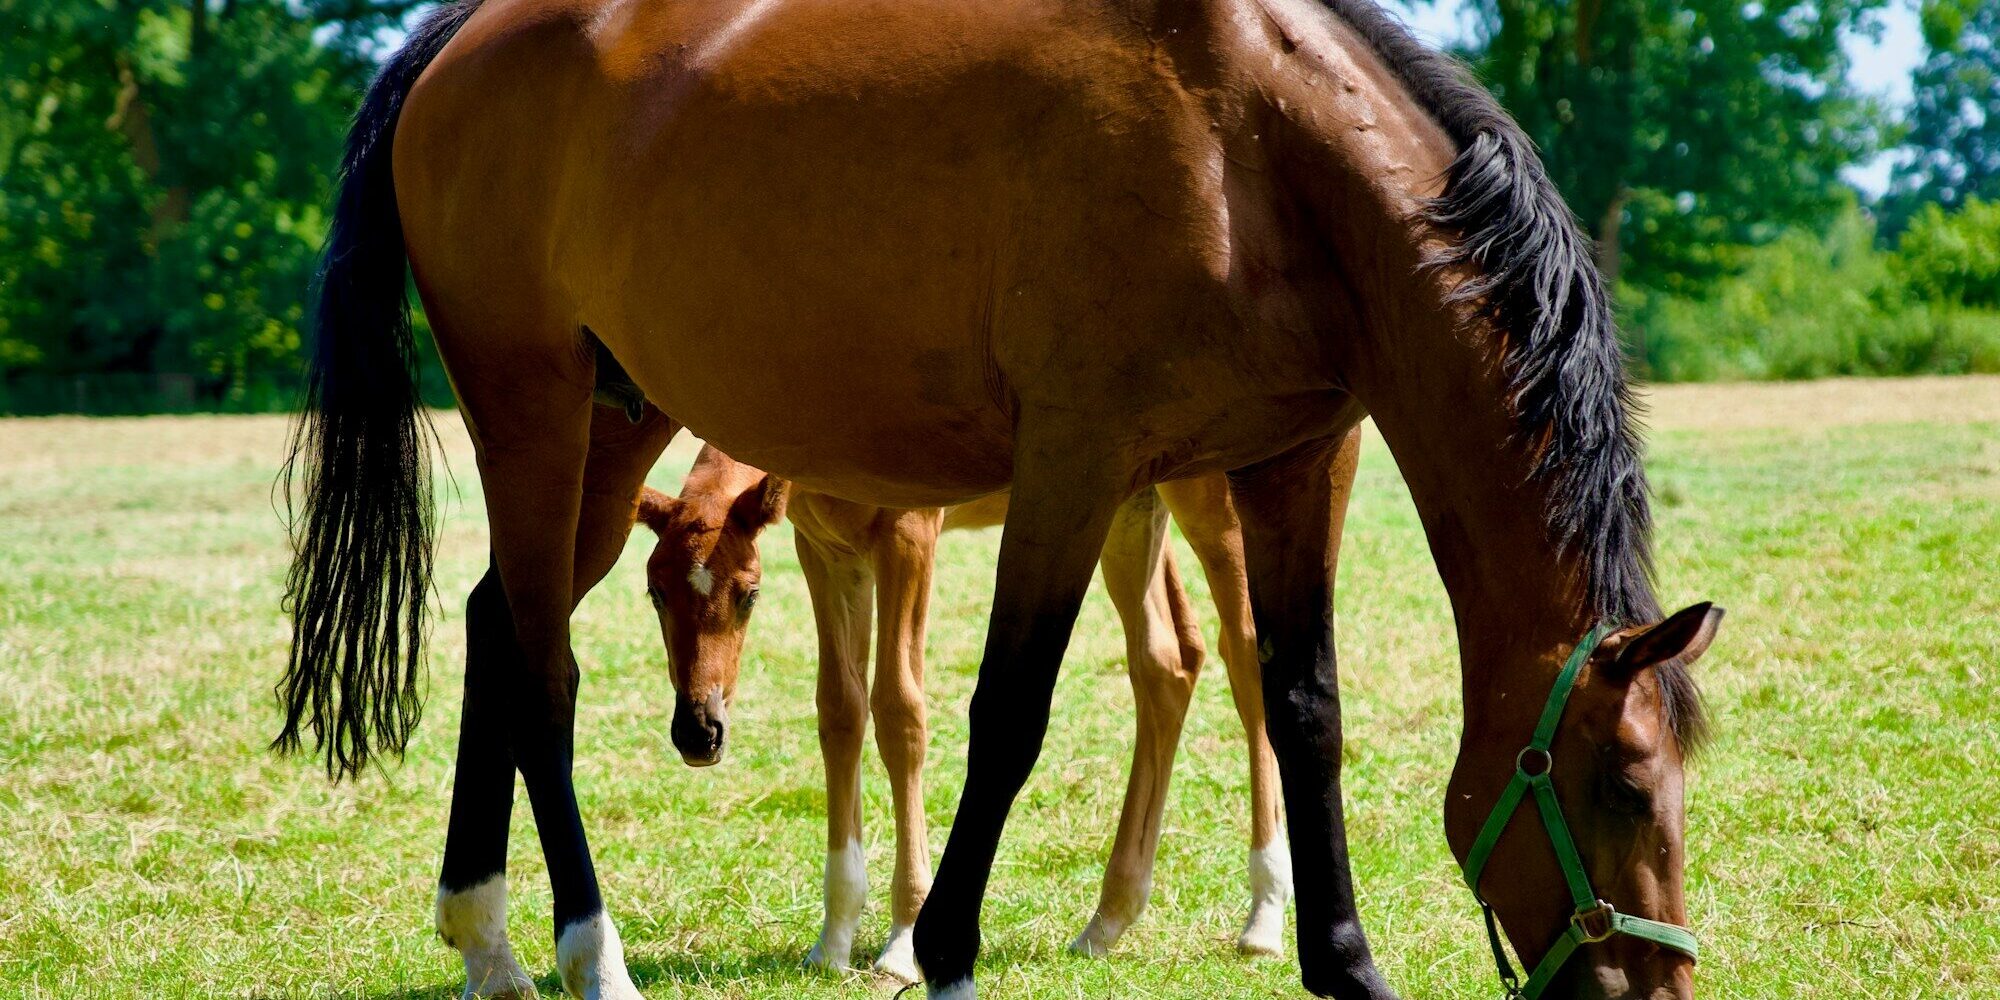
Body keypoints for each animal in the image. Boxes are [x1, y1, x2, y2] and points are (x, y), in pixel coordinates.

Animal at [631, 441, 1339, 978]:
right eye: (654, 592)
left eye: (749, 595)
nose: (699, 733)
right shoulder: (828, 550)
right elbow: (840, 710)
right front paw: (832, 941)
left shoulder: (910, 535)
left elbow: (899, 711)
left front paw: (901, 943)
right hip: (1129, 511)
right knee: (1166, 664)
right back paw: (1107, 921)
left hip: (1219, 503)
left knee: (1246, 655)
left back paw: (1264, 916)